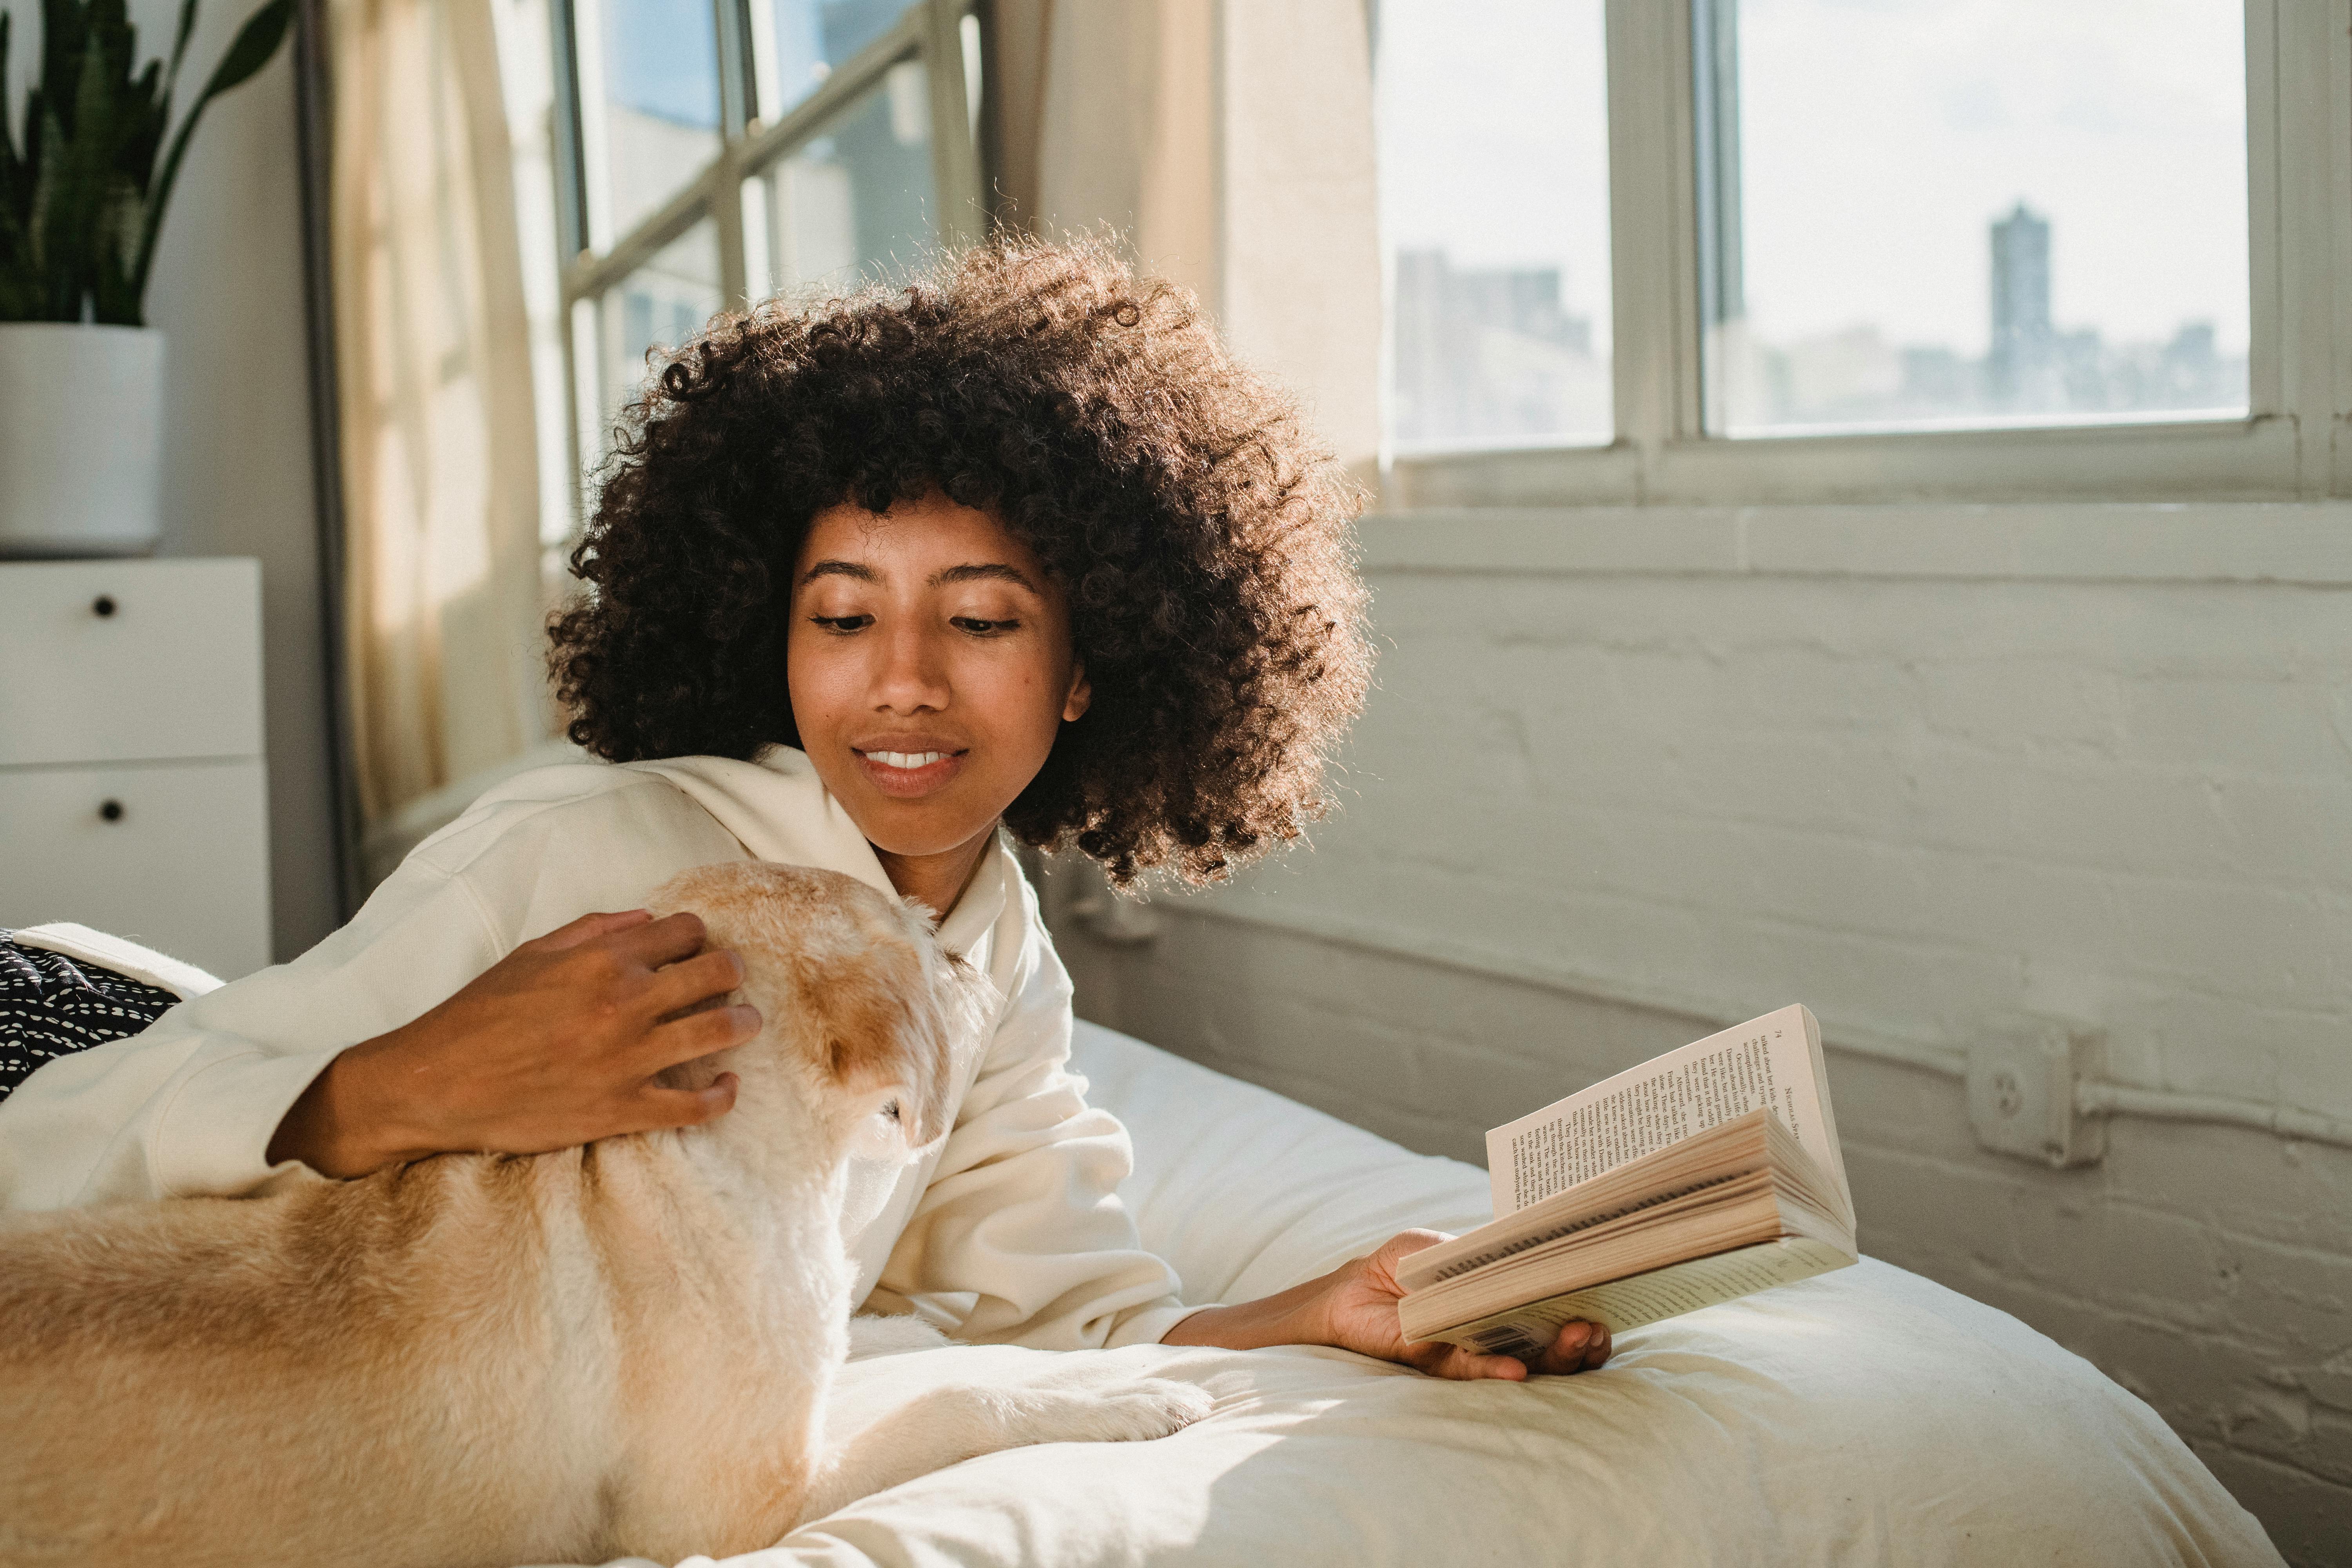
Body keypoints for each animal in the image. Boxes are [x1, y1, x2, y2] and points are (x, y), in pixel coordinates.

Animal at [0, 865, 1214, 1561]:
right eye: (922, 940)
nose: (980, 964)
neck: (672, 1156)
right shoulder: (734, 1511)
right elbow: (959, 1401)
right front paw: (1120, 1402)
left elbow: (903, 1346)